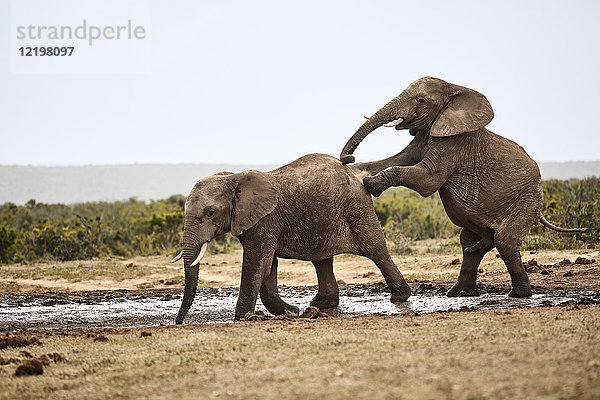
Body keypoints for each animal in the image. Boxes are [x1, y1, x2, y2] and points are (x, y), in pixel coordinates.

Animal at [171, 152, 410, 324]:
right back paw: (320, 305)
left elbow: (256, 263)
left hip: (357, 209)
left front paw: (241, 319)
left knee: (375, 248)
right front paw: (292, 311)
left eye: (210, 213)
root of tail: (354, 172)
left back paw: (400, 297)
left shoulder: (264, 220)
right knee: (321, 259)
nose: (178, 322)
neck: (233, 177)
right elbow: (269, 265)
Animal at [340, 76, 584, 298]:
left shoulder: (454, 144)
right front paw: (355, 170)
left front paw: (370, 184)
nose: (349, 157)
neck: (454, 89)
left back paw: (519, 294)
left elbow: (426, 179)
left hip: (527, 200)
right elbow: (396, 159)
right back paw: (459, 290)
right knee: (469, 240)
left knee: (505, 241)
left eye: (420, 100)